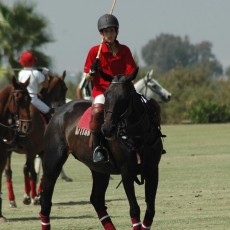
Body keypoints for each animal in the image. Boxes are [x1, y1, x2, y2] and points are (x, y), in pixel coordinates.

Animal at [0, 72, 67, 219]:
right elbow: (37, 172)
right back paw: (27, 196)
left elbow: (34, 171)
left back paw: (13, 200)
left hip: (10, 151)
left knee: (9, 172)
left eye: (29, 99)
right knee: (28, 170)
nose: (63, 104)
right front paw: (35, 196)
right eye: (65, 88)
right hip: (29, 150)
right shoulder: (38, 150)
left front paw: (34, 195)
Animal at [39, 68, 164, 230]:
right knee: (46, 201)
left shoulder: (152, 170)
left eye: (125, 97)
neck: (137, 136)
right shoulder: (127, 172)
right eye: (106, 96)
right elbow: (134, 209)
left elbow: (150, 210)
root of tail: (58, 110)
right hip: (52, 162)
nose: (107, 129)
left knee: (97, 200)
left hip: (99, 169)